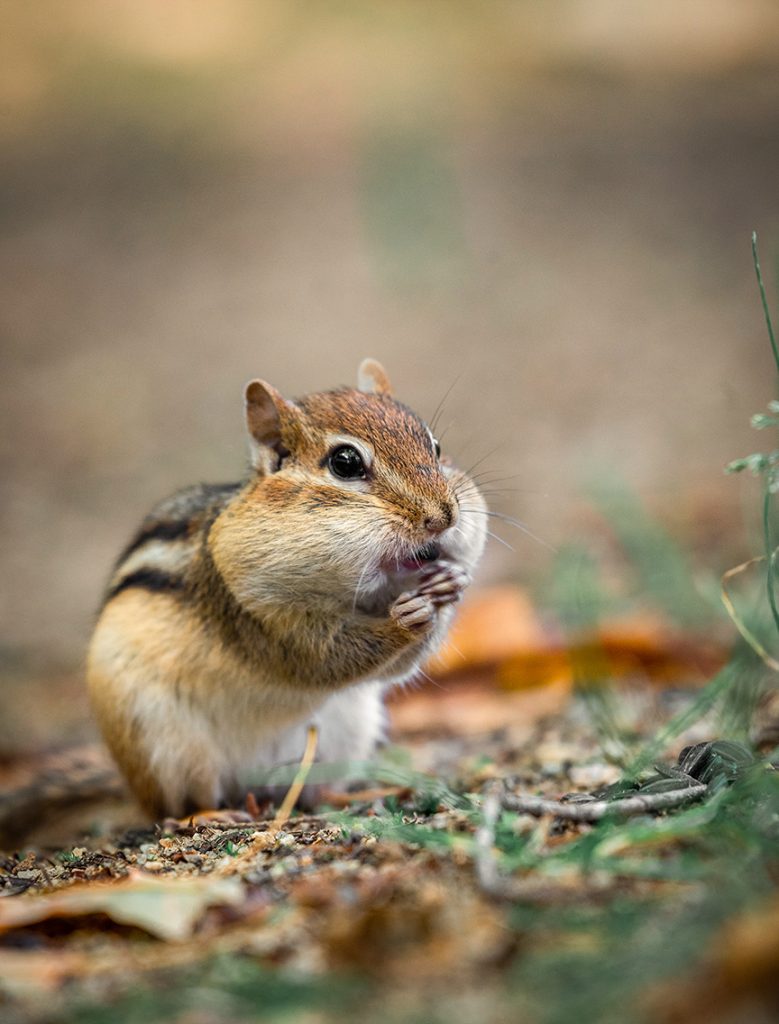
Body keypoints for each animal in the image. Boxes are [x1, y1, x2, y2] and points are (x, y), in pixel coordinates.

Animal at [79, 359, 485, 820]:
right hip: (163, 746)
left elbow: (393, 669)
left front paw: (451, 584)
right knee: (178, 806)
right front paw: (405, 620)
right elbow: (322, 660)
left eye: (436, 446)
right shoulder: (254, 618)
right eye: (345, 462)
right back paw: (214, 813)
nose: (444, 517)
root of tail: (254, 788)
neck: (356, 599)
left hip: (347, 733)